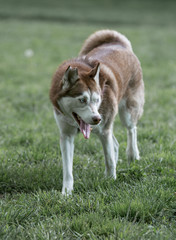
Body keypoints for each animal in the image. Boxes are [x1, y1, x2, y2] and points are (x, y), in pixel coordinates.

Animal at [49, 29, 144, 195]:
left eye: (97, 99)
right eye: (82, 100)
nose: (97, 118)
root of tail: (118, 43)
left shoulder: (104, 129)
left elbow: (109, 159)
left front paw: (111, 181)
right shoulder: (66, 135)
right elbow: (67, 168)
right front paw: (66, 192)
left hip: (126, 112)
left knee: (131, 129)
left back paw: (133, 155)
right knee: (115, 143)